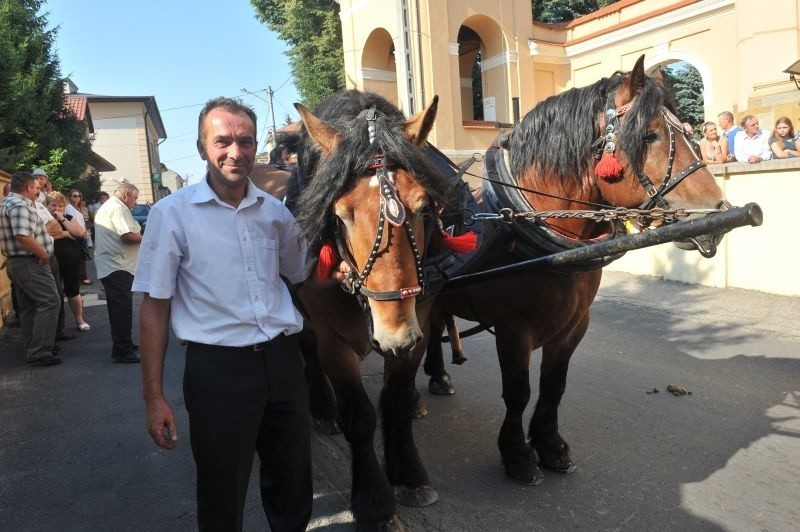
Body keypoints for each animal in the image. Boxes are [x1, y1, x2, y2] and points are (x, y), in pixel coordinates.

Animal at [292, 89, 456, 528]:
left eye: (423, 207)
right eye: (339, 215)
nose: (393, 333)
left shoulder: (418, 330)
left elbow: (395, 400)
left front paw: (409, 476)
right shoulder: (333, 342)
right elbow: (360, 417)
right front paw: (373, 502)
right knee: (306, 352)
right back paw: (321, 409)